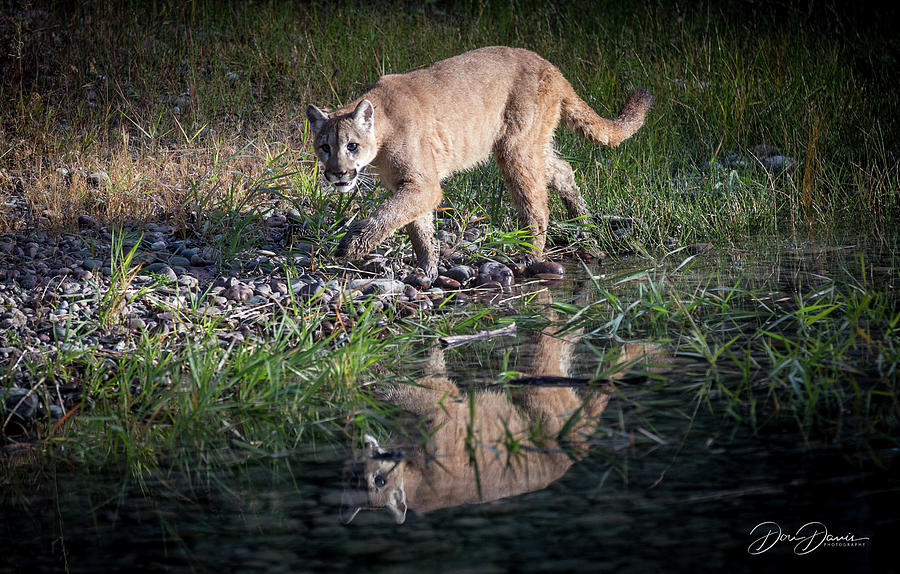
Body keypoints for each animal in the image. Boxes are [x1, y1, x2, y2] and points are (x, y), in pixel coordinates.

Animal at [306, 45, 652, 280]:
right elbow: (418, 227)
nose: (337, 173)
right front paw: (428, 269)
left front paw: (351, 247)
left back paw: (529, 257)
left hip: (515, 148)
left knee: (536, 204)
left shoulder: (423, 184)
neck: (382, 131)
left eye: (352, 146)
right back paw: (581, 221)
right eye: (324, 147)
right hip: (531, 144)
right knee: (562, 169)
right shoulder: (411, 184)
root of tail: (548, 64)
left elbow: (388, 215)